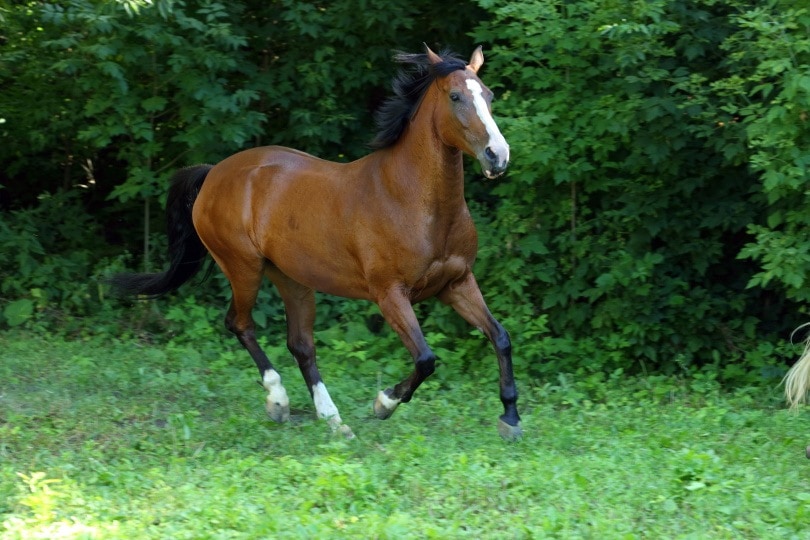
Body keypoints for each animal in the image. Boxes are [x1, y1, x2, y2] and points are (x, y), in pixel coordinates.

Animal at [110, 46, 520, 440]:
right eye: (455, 96)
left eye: (489, 95)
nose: (497, 156)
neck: (414, 201)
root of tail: (214, 174)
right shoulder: (390, 294)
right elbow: (425, 359)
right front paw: (383, 403)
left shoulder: (456, 283)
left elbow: (500, 337)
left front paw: (510, 419)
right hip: (243, 267)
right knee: (240, 324)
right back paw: (279, 402)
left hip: (292, 279)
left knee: (301, 345)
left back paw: (334, 422)